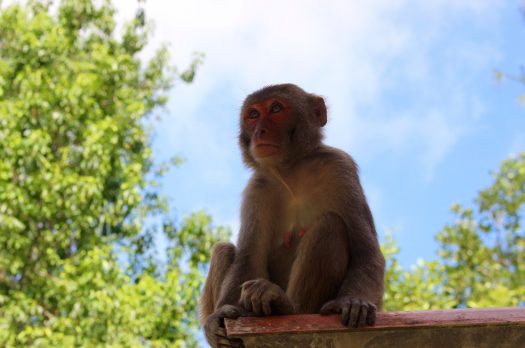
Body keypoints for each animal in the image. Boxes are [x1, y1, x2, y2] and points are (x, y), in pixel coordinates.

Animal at [199, 83, 382, 346]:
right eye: (253, 114)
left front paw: (353, 301)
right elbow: (248, 258)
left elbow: (366, 251)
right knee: (224, 249)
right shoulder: (258, 188)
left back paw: (287, 306)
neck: (291, 171)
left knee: (330, 225)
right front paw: (220, 316)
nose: (261, 131)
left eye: (276, 109)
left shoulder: (340, 167)